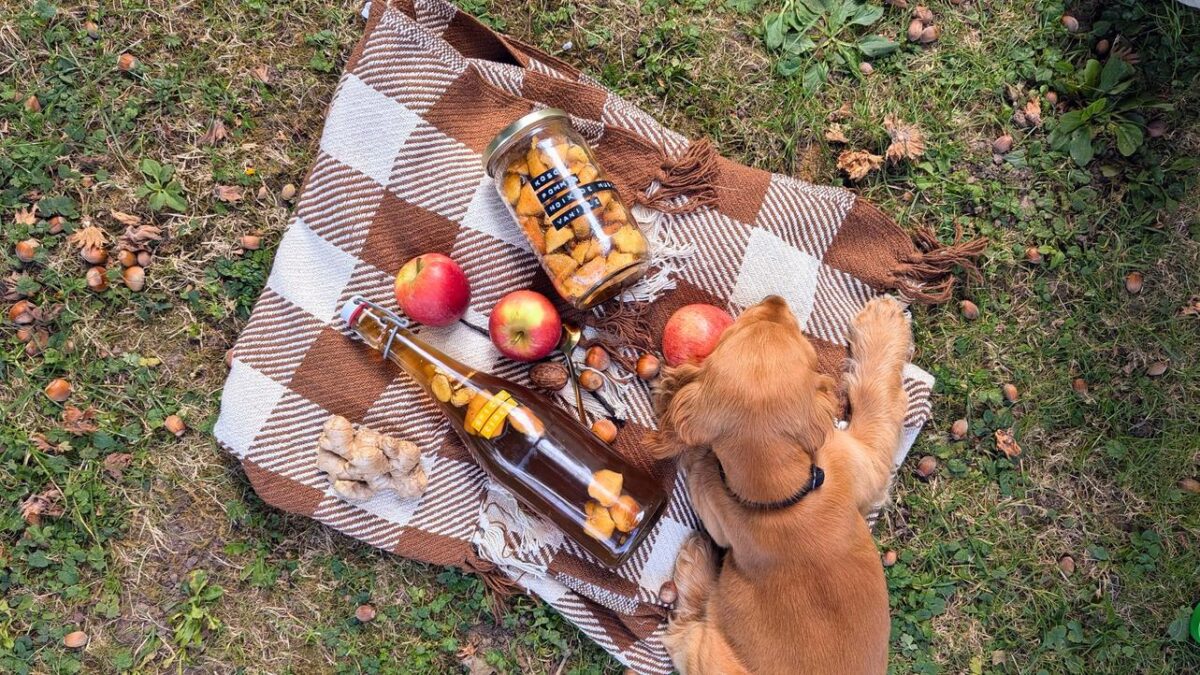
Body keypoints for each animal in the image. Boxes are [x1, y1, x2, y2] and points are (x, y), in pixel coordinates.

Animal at [657, 293, 907, 667]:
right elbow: (873, 397)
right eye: (805, 345)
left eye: (732, 332)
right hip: (716, 657)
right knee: (683, 636)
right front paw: (884, 322)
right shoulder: (862, 460)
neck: (783, 495)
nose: (775, 301)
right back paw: (697, 563)